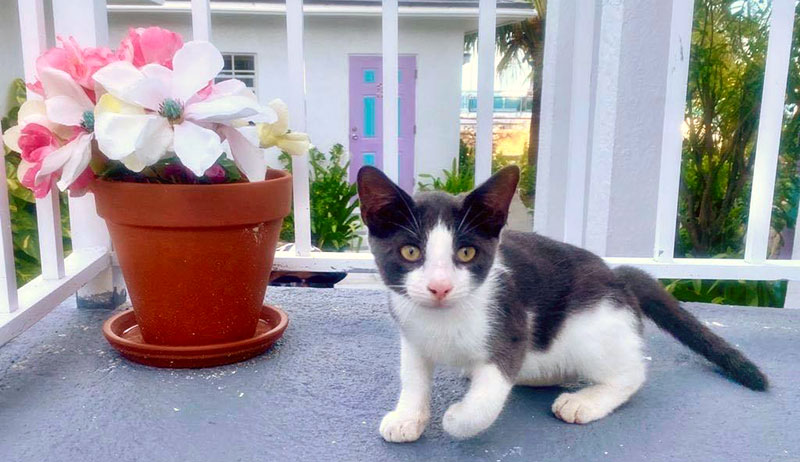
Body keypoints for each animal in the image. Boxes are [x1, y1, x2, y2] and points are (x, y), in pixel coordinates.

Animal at [358, 165, 768, 440]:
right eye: (411, 252)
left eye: (466, 252)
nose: (440, 287)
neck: (443, 321)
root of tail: (618, 277)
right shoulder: (411, 332)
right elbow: (413, 375)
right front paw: (407, 417)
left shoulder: (511, 326)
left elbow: (488, 397)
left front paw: (458, 418)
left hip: (592, 324)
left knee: (631, 374)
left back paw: (585, 401)